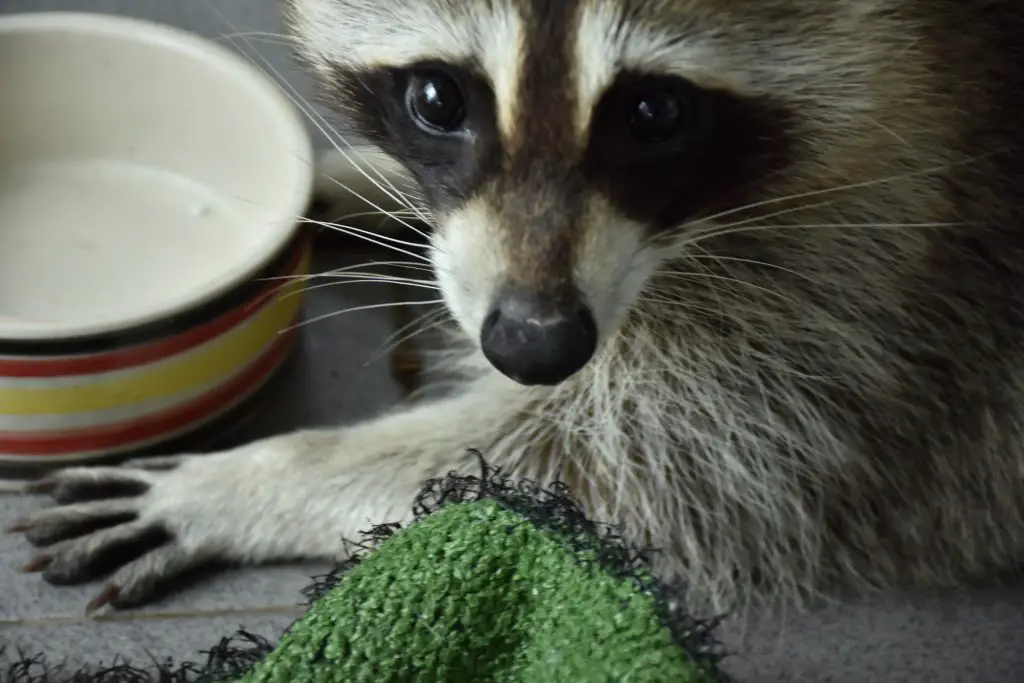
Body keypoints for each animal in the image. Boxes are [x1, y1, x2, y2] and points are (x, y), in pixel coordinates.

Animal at [10, 0, 1024, 617]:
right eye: (435, 97)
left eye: (656, 113)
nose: (534, 344)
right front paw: (379, 188)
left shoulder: (886, 284)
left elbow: (635, 458)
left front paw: (258, 480)